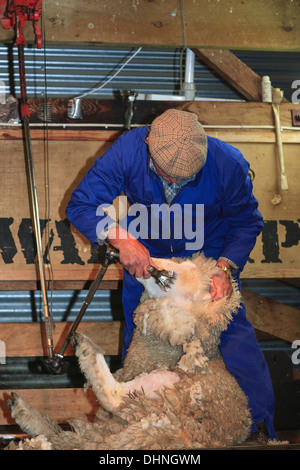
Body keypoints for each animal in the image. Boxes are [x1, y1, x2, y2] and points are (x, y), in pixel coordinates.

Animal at [5, 252, 253, 450]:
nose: (150, 258)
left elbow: (112, 397)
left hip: (162, 392)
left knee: (113, 396)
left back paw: (85, 348)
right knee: (62, 435)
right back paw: (22, 411)